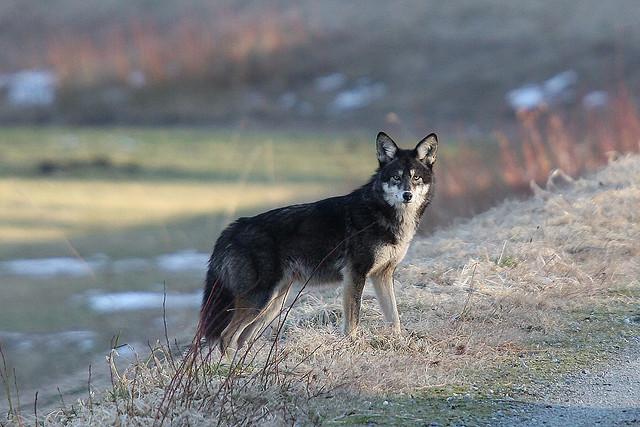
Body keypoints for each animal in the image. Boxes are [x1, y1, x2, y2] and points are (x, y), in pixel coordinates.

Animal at [200, 131, 438, 351]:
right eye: (396, 178)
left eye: (416, 178)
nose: (407, 195)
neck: (382, 213)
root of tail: (232, 228)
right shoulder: (355, 275)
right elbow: (353, 321)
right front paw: (351, 347)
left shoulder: (383, 275)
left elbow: (394, 318)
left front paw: (400, 344)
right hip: (260, 301)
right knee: (226, 337)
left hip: (272, 305)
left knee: (241, 339)